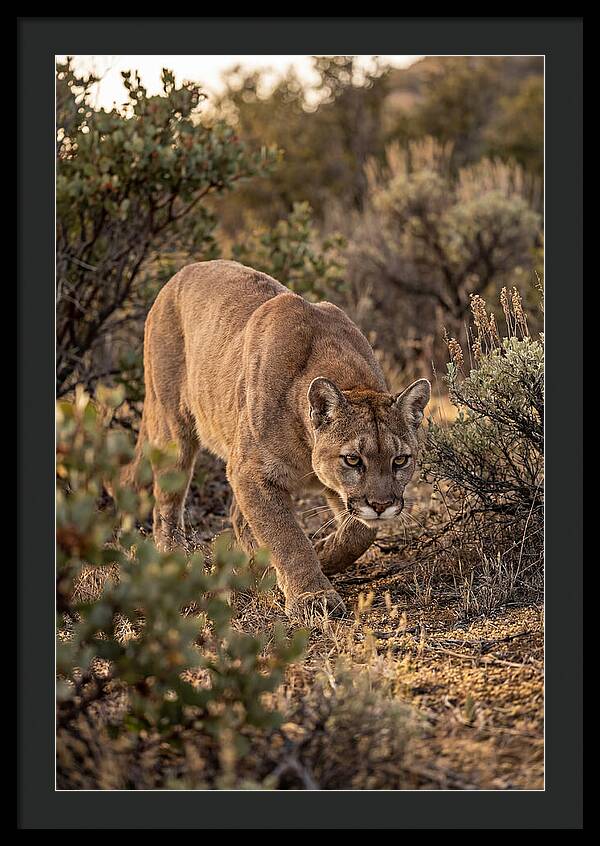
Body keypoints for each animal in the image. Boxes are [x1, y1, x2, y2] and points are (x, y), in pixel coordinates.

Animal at [123, 260, 430, 619]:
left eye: (400, 460)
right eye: (353, 459)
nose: (381, 505)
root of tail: (181, 272)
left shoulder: (328, 486)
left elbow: (360, 531)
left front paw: (324, 553)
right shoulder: (252, 472)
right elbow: (286, 536)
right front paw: (313, 596)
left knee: (236, 515)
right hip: (174, 427)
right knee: (167, 503)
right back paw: (176, 558)